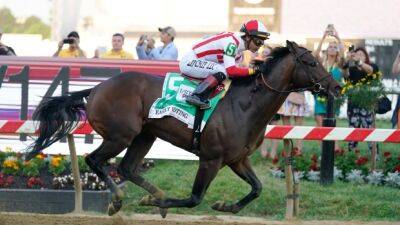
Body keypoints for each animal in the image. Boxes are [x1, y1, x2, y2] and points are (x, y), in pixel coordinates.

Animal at [25, 40, 340, 216]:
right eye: (311, 61)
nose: (336, 86)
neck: (245, 105)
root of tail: (97, 88)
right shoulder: (211, 159)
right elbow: (194, 198)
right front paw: (159, 204)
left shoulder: (237, 159)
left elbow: (257, 188)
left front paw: (225, 206)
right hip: (121, 135)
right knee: (95, 160)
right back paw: (118, 198)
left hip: (145, 135)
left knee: (127, 168)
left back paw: (155, 193)